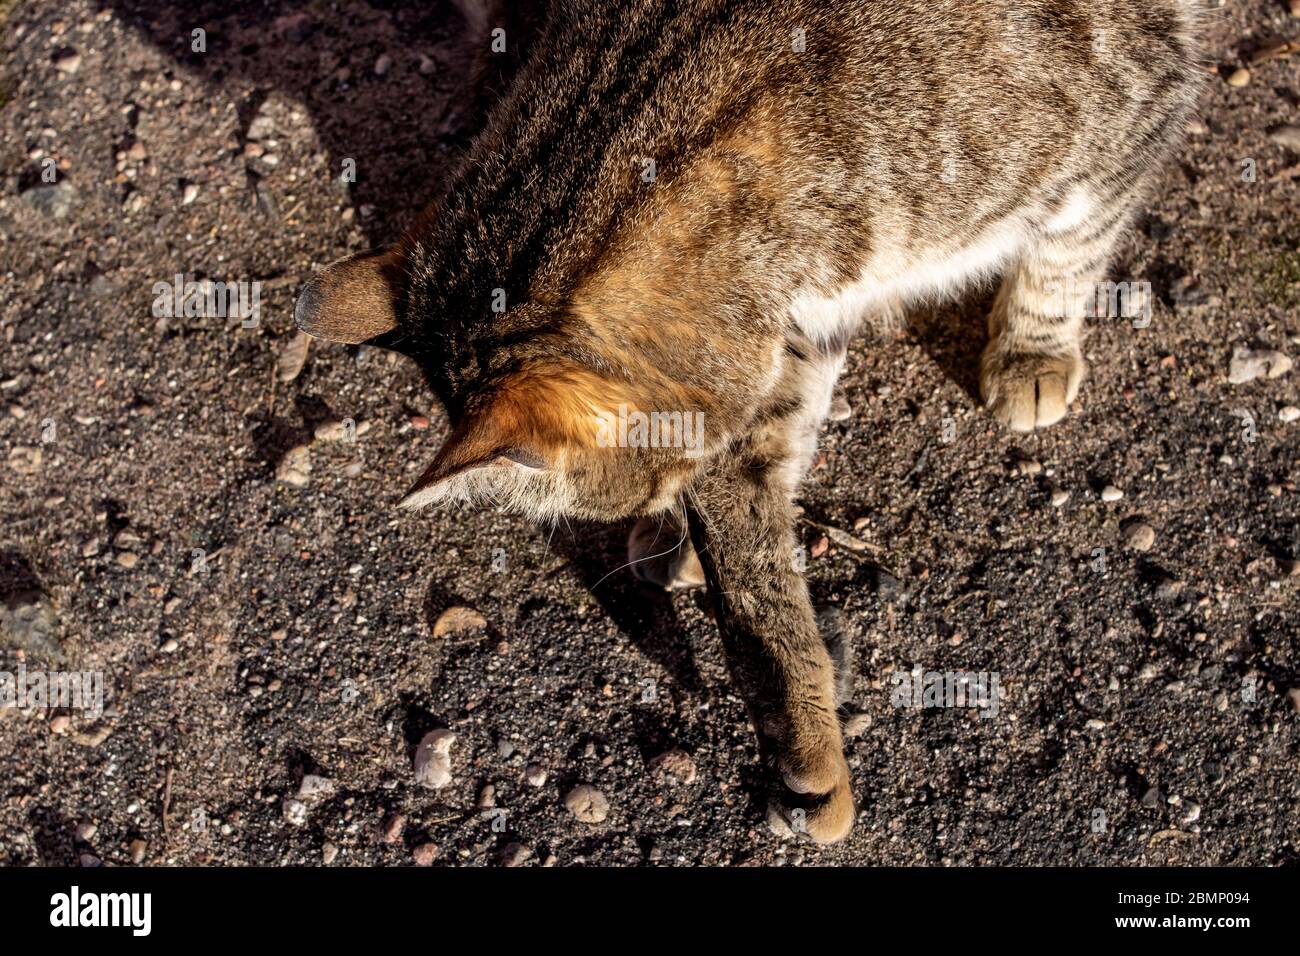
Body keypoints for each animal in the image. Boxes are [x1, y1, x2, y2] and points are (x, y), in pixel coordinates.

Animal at [295, 0, 1196, 842]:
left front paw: (1033, 346)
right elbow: (758, 539)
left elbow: (1071, 247)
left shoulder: (1130, 115)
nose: (656, 512)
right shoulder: (789, 343)